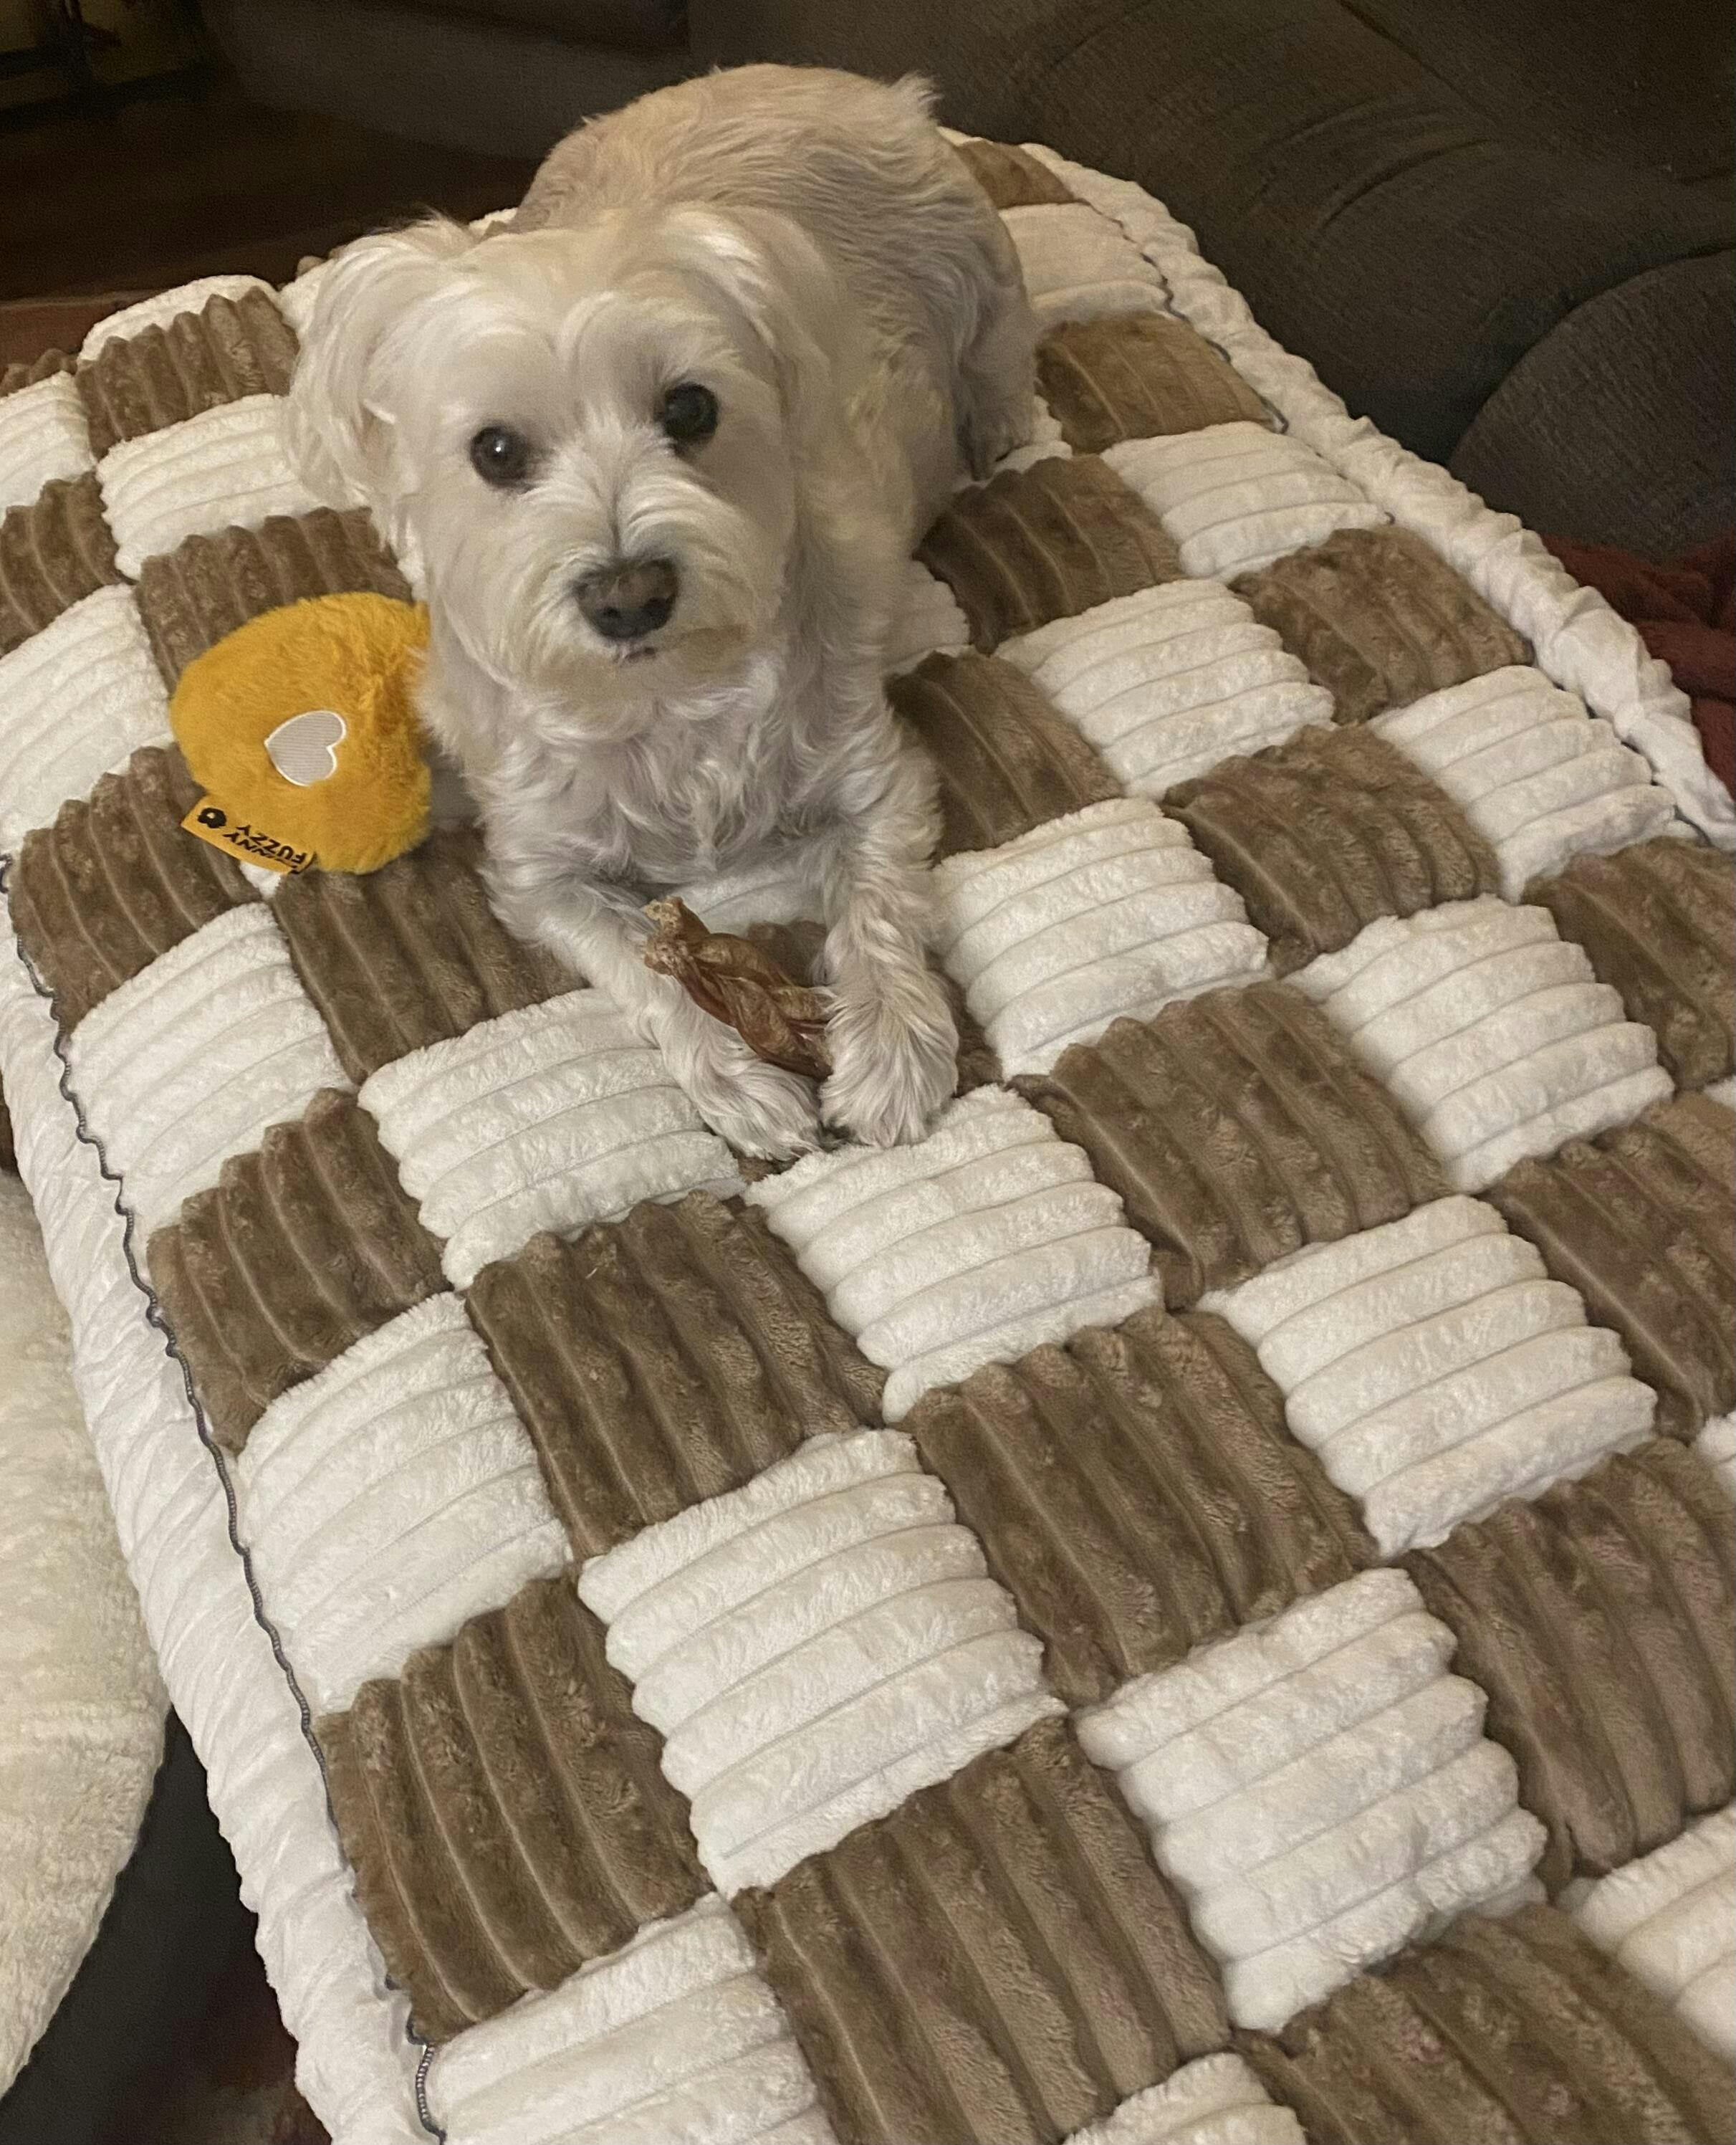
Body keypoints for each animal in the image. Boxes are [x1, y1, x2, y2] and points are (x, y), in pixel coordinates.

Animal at [286, 65, 1036, 1155]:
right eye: (495, 451)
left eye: (689, 408)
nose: (628, 594)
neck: (665, 698)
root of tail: (826, 81)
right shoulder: (537, 867)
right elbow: (637, 965)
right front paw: (734, 1081)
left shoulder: (874, 774)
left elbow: (878, 904)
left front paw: (892, 1048)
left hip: (979, 259)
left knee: (998, 348)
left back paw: (1002, 421)